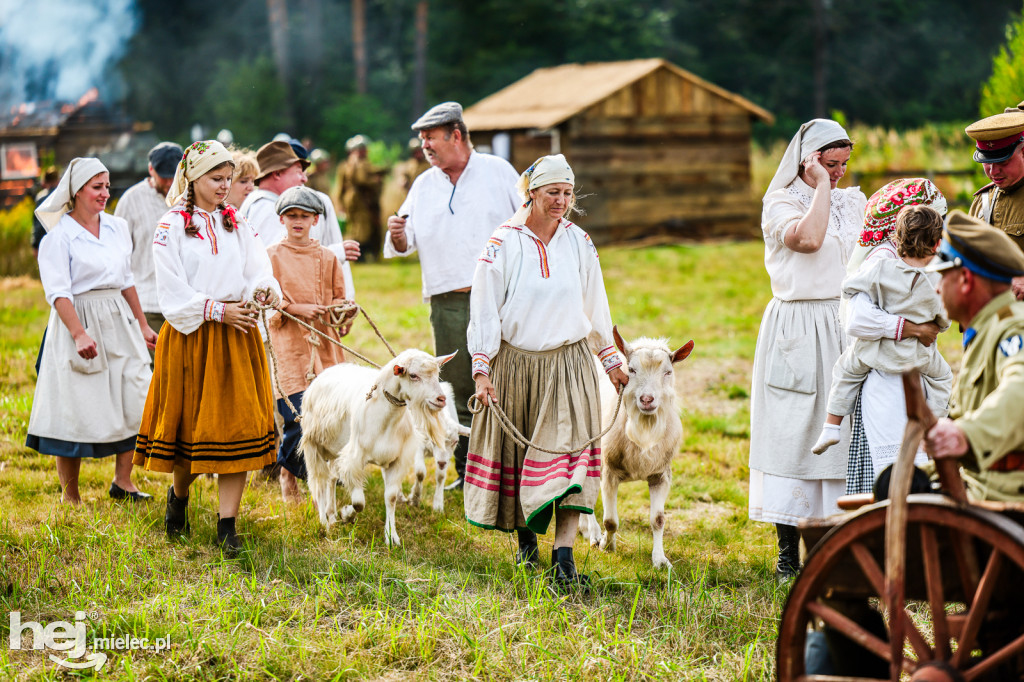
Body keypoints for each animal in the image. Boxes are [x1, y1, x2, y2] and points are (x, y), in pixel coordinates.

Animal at [299, 348, 454, 544]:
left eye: (437, 374)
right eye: (413, 375)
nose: (441, 399)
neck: (385, 418)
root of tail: (324, 373)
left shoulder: (396, 460)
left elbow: (391, 497)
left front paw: (391, 536)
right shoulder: (355, 459)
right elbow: (359, 503)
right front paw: (347, 514)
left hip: (335, 450)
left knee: (331, 479)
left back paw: (332, 515)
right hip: (314, 446)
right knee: (319, 483)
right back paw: (324, 523)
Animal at [581, 327, 692, 565]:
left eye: (668, 372)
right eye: (631, 369)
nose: (647, 399)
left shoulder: (661, 475)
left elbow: (658, 519)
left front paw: (660, 560)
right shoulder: (609, 472)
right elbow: (611, 521)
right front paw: (607, 545)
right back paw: (592, 533)